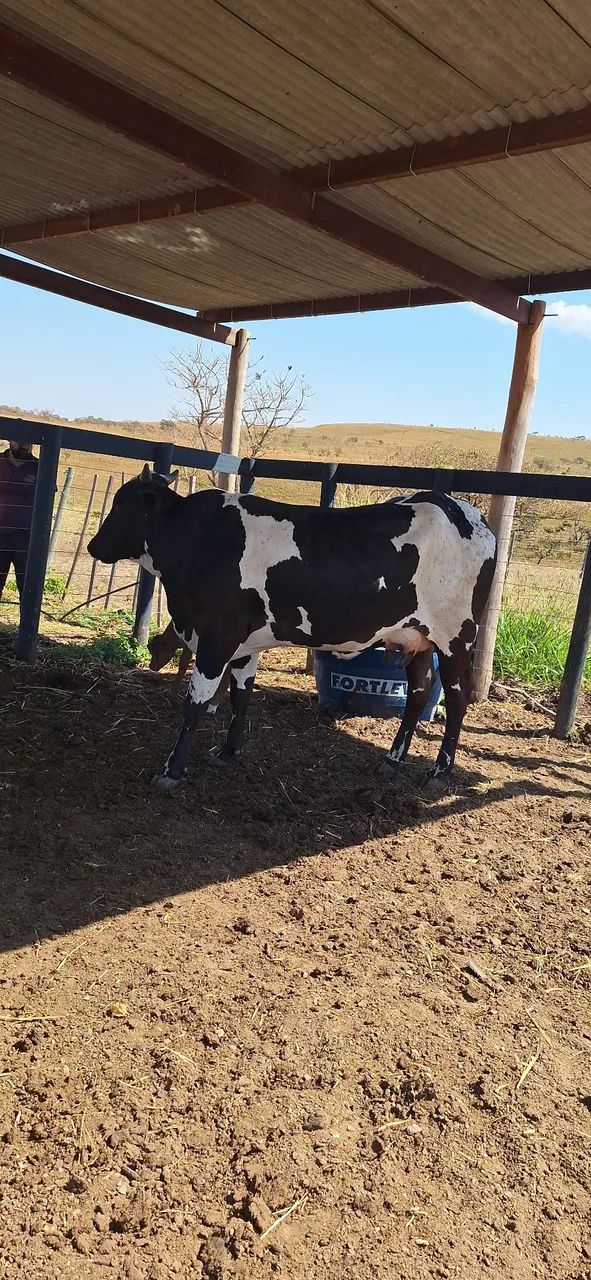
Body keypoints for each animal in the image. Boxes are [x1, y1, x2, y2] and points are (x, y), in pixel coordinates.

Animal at [88, 466, 497, 795]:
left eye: (121, 505)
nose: (93, 545)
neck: (198, 541)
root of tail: (462, 510)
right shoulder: (244, 645)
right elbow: (241, 696)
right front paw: (229, 752)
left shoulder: (217, 639)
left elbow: (195, 705)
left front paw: (171, 771)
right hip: (417, 637)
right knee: (418, 693)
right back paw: (392, 760)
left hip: (456, 636)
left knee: (456, 699)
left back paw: (439, 773)